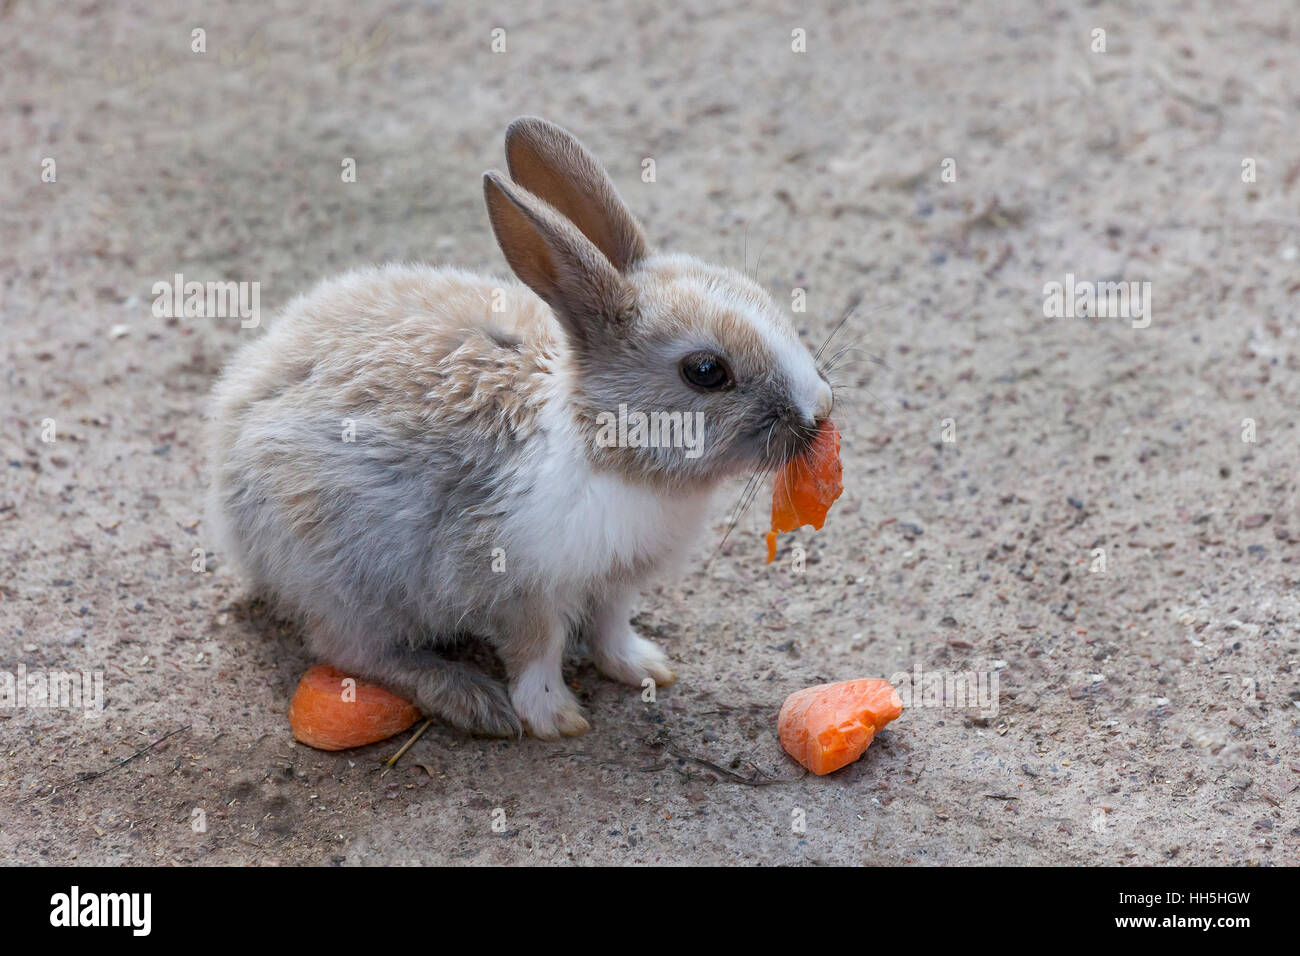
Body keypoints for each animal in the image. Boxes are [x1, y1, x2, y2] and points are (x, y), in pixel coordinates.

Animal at [207, 117, 833, 739]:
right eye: (706, 371)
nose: (819, 412)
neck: (604, 440)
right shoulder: (514, 584)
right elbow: (537, 650)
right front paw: (555, 719)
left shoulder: (615, 580)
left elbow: (610, 626)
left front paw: (644, 668)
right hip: (348, 578)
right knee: (350, 650)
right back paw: (469, 699)